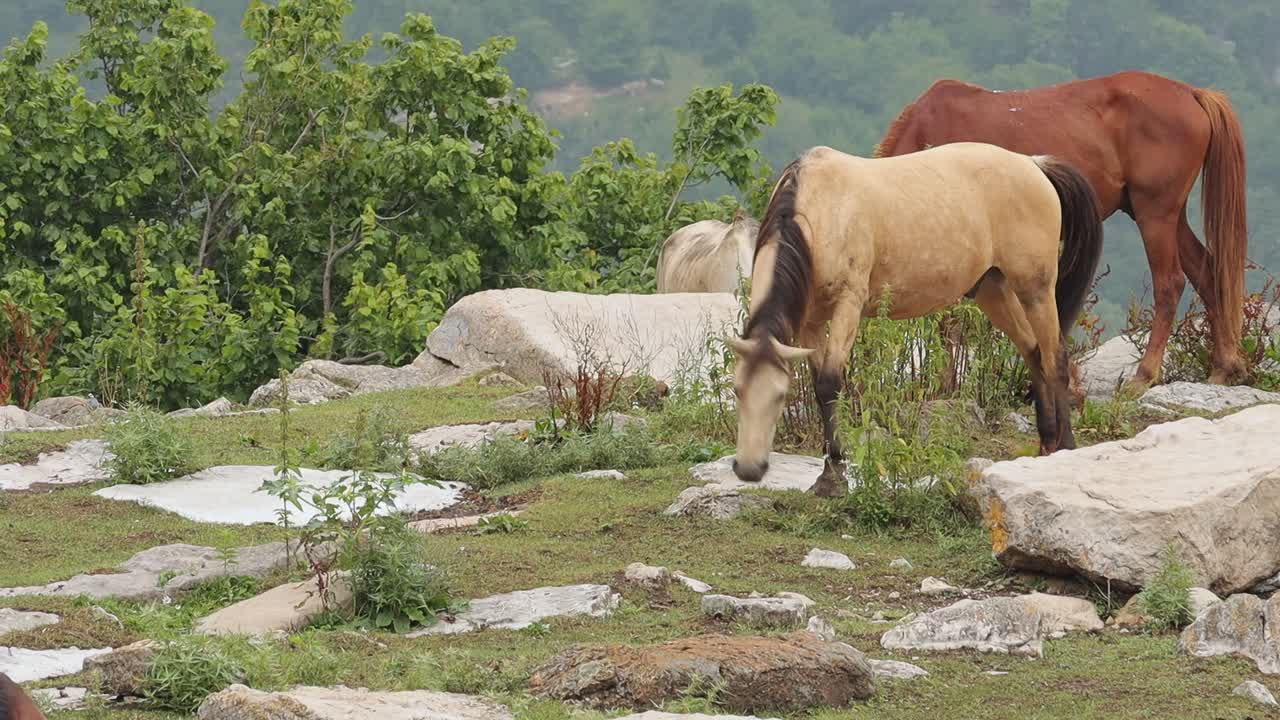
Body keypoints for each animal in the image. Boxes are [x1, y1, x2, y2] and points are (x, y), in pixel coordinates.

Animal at [729, 142, 1103, 497]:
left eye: (780, 397)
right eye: (737, 391)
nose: (748, 469)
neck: (819, 211)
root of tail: (1033, 164)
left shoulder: (848, 304)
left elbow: (829, 383)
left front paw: (834, 477)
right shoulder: (811, 322)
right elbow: (821, 388)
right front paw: (829, 474)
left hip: (1036, 289)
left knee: (1055, 358)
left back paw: (1065, 446)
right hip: (993, 290)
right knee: (1033, 353)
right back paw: (1046, 442)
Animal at [876, 71, 1248, 392]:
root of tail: (1192, 94)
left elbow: (952, 321)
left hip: (1155, 214)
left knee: (1170, 284)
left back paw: (1145, 374)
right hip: (1166, 216)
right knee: (1207, 275)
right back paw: (1224, 366)